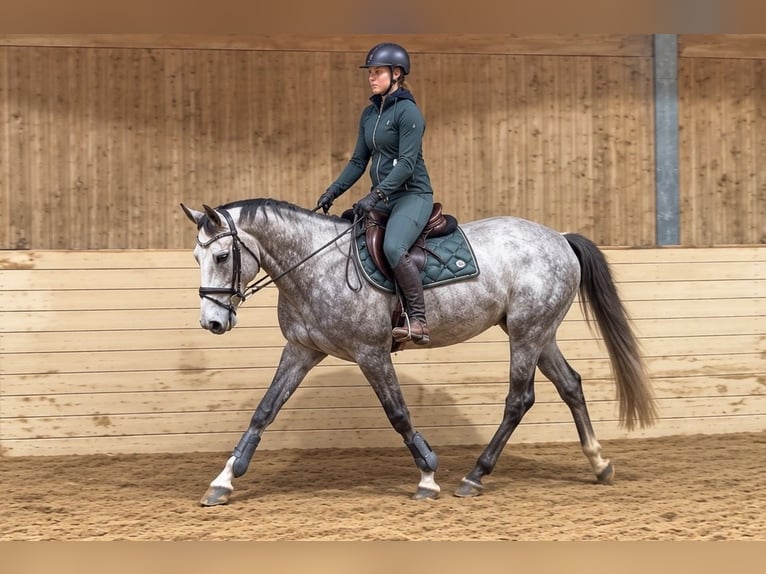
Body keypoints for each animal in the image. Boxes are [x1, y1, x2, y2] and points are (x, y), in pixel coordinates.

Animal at [180, 198, 657, 506]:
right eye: (197, 258)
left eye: (221, 256)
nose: (213, 323)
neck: (315, 265)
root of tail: (558, 237)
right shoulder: (300, 350)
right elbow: (264, 411)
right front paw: (224, 479)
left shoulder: (371, 353)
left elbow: (398, 413)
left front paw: (428, 475)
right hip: (540, 333)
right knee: (570, 385)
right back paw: (599, 463)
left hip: (527, 333)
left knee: (519, 399)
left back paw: (475, 476)